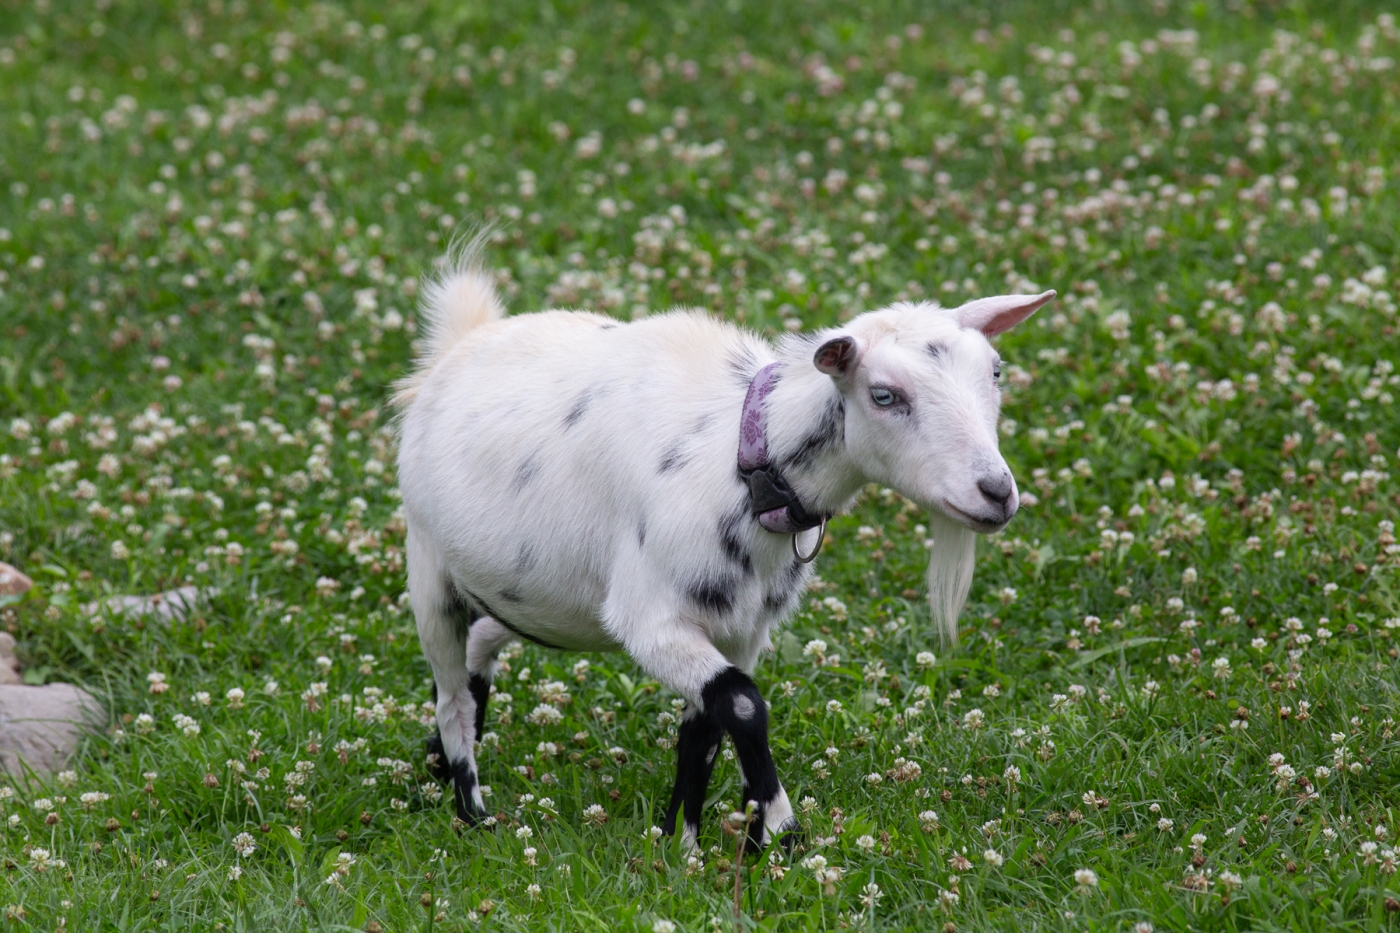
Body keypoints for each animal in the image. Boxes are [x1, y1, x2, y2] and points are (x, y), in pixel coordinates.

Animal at [394, 250, 1052, 846]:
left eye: (996, 373)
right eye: (885, 395)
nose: (996, 493)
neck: (740, 461)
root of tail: (462, 341)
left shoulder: (740, 625)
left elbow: (704, 730)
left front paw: (681, 843)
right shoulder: (652, 619)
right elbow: (741, 705)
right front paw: (781, 834)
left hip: (530, 595)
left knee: (481, 646)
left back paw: (439, 764)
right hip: (428, 570)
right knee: (452, 694)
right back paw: (472, 810)